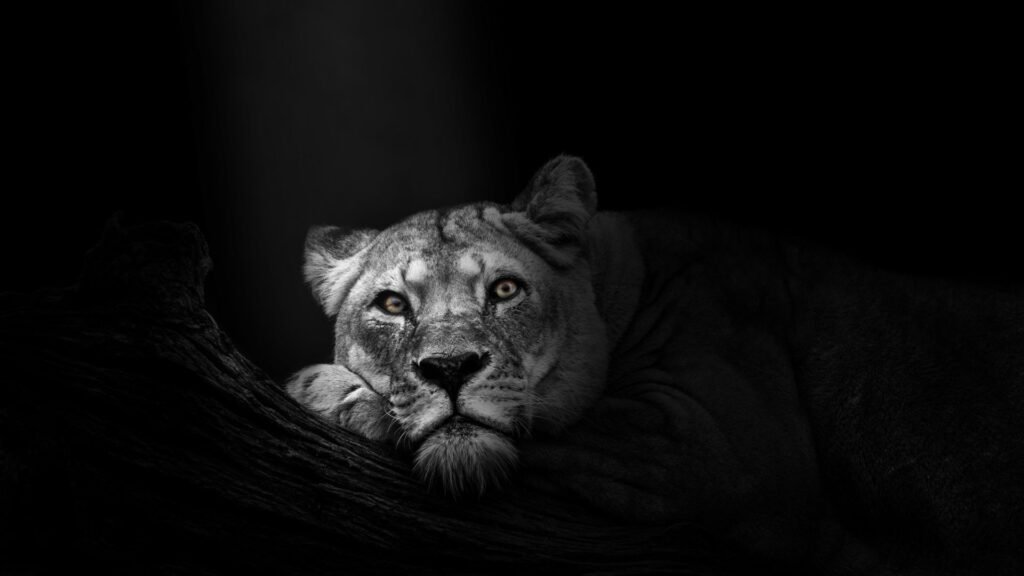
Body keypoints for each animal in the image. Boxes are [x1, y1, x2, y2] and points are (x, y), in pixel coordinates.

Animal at [287, 156, 1023, 574]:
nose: (449, 368)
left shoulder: (713, 440)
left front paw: (325, 390)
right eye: (391, 304)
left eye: (505, 290)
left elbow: (556, 427)